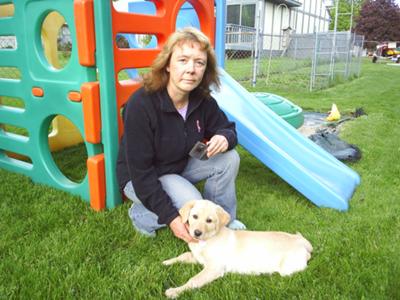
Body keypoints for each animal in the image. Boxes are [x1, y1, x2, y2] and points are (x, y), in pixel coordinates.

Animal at [162, 199, 312, 298]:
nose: (197, 233)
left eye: (209, 221)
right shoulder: (198, 258)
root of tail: (300, 241)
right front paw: (167, 262)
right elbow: (184, 255)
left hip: (287, 269)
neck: (206, 240)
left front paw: (175, 291)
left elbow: (194, 280)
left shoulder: (214, 268)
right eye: (194, 216)